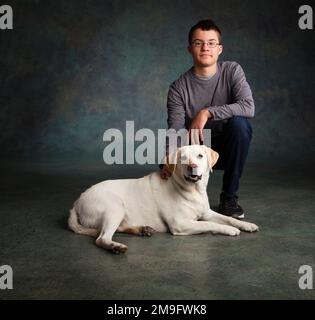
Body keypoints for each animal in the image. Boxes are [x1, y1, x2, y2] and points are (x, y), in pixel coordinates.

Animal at [69, 144, 260, 252]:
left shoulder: (206, 212)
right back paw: (116, 246)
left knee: (117, 229)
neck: (192, 190)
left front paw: (247, 225)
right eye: (183, 158)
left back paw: (142, 230)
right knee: (102, 238)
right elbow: (209, 224)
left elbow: (227, 218)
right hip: (115, 207)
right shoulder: (180, 224)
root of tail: (77, 201)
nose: (192, 166)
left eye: (200, 155)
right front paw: (229, 230)